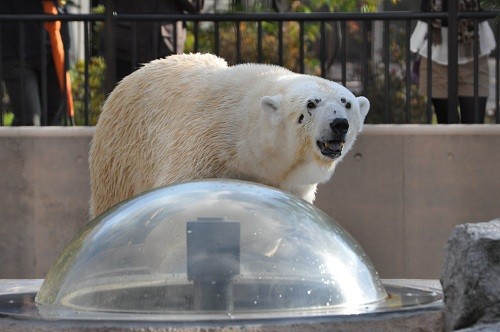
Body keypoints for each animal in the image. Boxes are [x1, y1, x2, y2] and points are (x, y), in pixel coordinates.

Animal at [88, 53, 370, 218]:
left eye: (346, 103)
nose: (339, 124)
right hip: (121, 154)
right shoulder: (203, 151)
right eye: (311, 104)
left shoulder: (292, 186)